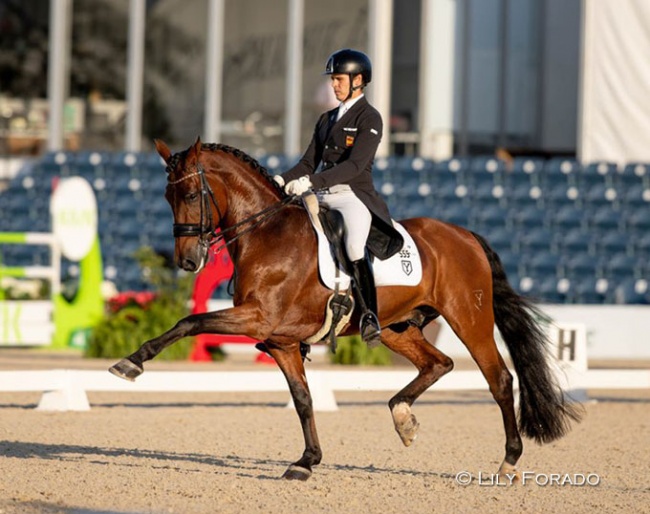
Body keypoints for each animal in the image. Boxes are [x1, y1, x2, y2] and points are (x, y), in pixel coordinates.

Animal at [109, 137, 580, 480]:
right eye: (167, 196)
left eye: (191, 193)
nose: (188, 262)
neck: (267, 233)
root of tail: (464, 235)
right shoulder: (280, 341)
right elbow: (303, 400)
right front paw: (306, 461)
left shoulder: (258, 318)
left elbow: (189, 320)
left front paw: (131, 362)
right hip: (396, 327)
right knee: (438, 363)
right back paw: (403, 418)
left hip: (470, 320)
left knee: (499, 379)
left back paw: (508, 463)